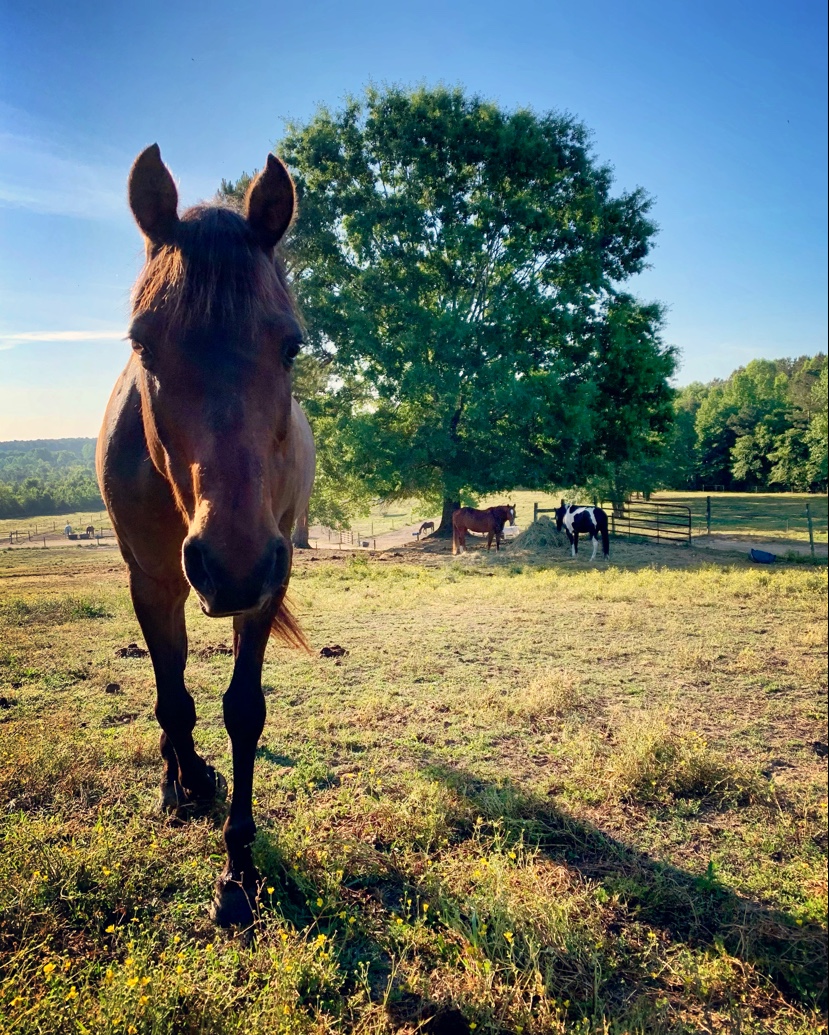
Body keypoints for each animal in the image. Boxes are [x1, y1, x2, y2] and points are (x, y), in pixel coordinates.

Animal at [96, 141, 314, 927]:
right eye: (142, 344)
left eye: (290, 346)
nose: (233, 561)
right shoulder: (154, 580)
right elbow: (173, 696)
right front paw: (187, 781)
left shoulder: (267, 584)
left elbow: (242, 711)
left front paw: (238, 869)